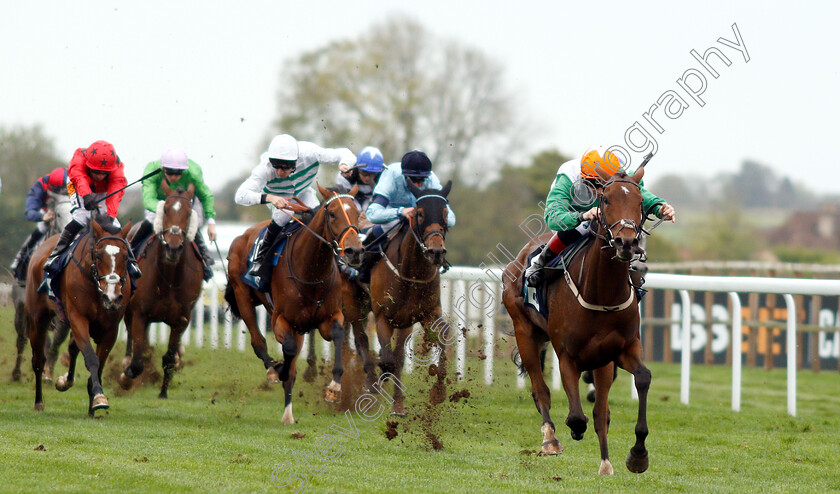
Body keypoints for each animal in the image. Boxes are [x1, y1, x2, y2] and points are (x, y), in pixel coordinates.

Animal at [25, 218, 133, 414]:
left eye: (126, 256)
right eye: (98, 255)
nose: (112, 296)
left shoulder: (111, 328)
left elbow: (99, 364)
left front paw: (93, 404)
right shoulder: (78, 319)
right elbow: (91, 358)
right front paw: (99, 398)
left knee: (72, 347)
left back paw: (65, 382)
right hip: (37, 320)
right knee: (38, 360)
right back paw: (39, 402)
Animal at [118, 181, 205, 398]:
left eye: (189, 212)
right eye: (165, 209)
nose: (173, 247)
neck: (168, 279)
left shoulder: (181, 319)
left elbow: (169, 358)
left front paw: (163, 392)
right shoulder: (139, 313)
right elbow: (137, 361)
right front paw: (125, 378)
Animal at [225, 183, 362, 422]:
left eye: (357, 213)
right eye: (332, 214)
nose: (355, 251)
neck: (312, 271)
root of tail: (242, 236)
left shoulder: (328, 317)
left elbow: (337, 334)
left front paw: (334, 387)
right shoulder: (281, 319)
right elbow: (287, 351)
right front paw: (279, 369)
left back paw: (288, 414)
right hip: (243, 296)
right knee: (258, 341)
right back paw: (273, 371)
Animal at [370, 179, 452, 414]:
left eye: (445, 212)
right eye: (420, 213)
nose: (436, 252)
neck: (411, 274)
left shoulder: (427, 313)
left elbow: (444, 335)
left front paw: (439, 392)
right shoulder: (382, 316)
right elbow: (387, 360)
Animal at [502, 165, 652, 474]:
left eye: (640, 202)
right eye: (605, 199)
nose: (626, 243)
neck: (602, 292)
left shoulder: (621, 350)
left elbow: (639, 381)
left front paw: (637, 454)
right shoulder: (567, 356)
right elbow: (576, 416)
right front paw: (572, 430)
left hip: (600, 359)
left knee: (600, 410)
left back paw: (605, 461)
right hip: (525, 332)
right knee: (540, 390)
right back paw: (550, 439)